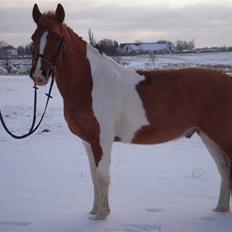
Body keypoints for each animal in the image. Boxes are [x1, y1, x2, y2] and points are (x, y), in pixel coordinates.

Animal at [29, 3, 232, 219]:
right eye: (33, 37)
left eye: (58, 38)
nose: (39, 75)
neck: (90, 83)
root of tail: (228, 80)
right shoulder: (88, 141)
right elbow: (94, 177)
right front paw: (93, 212)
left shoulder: (102, 141)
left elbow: (102, 177)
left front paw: (102, 215)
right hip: (209, 137)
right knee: (224, 170)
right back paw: (219, 209)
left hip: (221, 137)